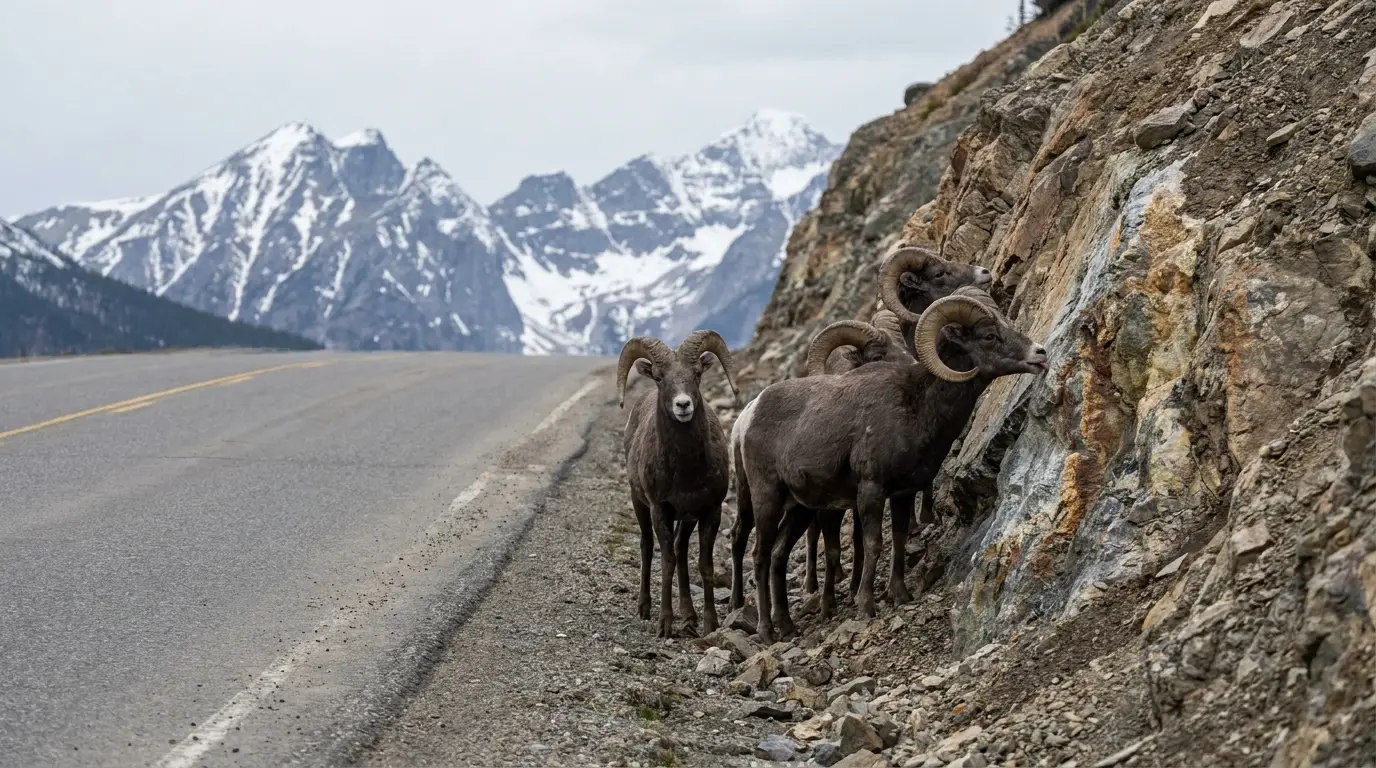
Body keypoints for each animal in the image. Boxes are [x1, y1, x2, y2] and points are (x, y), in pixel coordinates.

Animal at [618, 329, 740, 637]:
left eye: (696, 374)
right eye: (660, 377)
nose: (683, 405)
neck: (686, 471)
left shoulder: (710, 511)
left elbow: (704, 564)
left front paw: (709, 624)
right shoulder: (659, 510)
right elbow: (667, 561)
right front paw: (664, 625)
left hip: (686, 519)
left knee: (682, 549)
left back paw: (689, 616)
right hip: (640, 504)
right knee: (648, 546)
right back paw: (645, 608)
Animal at [734, 287, 1048, 642]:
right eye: (989, 335)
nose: (1040, 354)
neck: (916, 406)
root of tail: (749, 415)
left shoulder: (902, 493)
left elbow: (898, 539)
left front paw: (900, 595)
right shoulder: (871, 491)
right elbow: (874, 544)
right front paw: (866, 606)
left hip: (801, 507)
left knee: (778, 555)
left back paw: (787, 627)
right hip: (768, 499)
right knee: (760, 557)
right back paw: (767, 631)